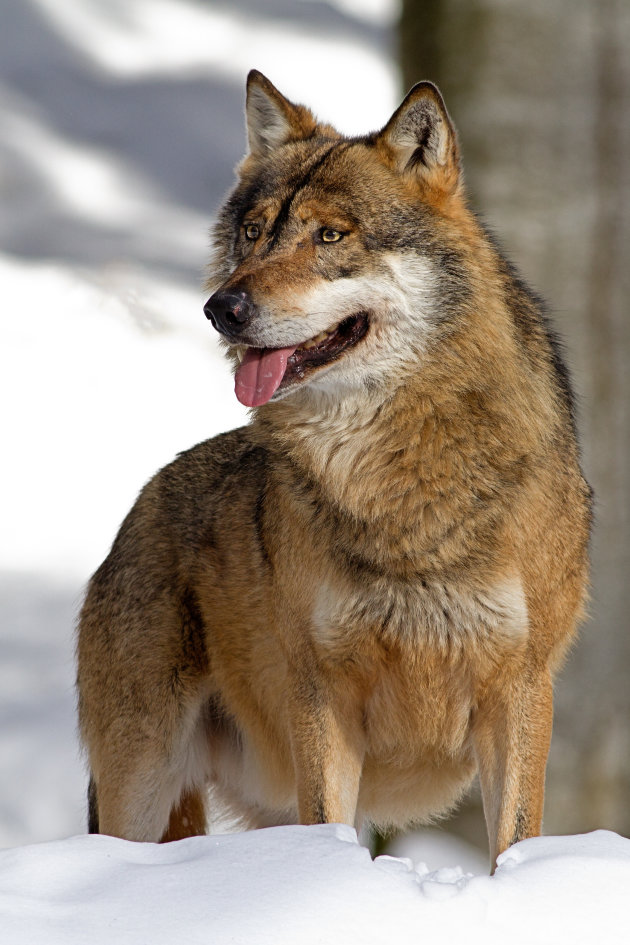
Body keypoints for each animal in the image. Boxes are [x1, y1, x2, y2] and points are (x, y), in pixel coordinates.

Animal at [78, 70, 592, 868]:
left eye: (330, 235)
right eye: (254, 232)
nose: (222, 308)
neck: (396, 477)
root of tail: (135, 511)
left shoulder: (521, 688)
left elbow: (514, 839)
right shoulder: (321, 693)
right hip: (141, 785)